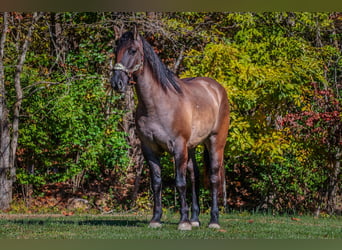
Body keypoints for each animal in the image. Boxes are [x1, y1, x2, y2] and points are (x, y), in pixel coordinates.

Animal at [111, 28, 230, 229]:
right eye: (115, 51)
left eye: (133, 50)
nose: (116, 83)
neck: (157, 104)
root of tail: (216, 89)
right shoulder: (149, 149)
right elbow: (157, 183)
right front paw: (156, 219)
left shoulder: (178, 147)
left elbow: (180, 182)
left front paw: (183, 222)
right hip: (191, 147)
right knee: (194, 176)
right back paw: (195, 219)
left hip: (215, 142)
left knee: (214, 178)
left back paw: (213, 221)